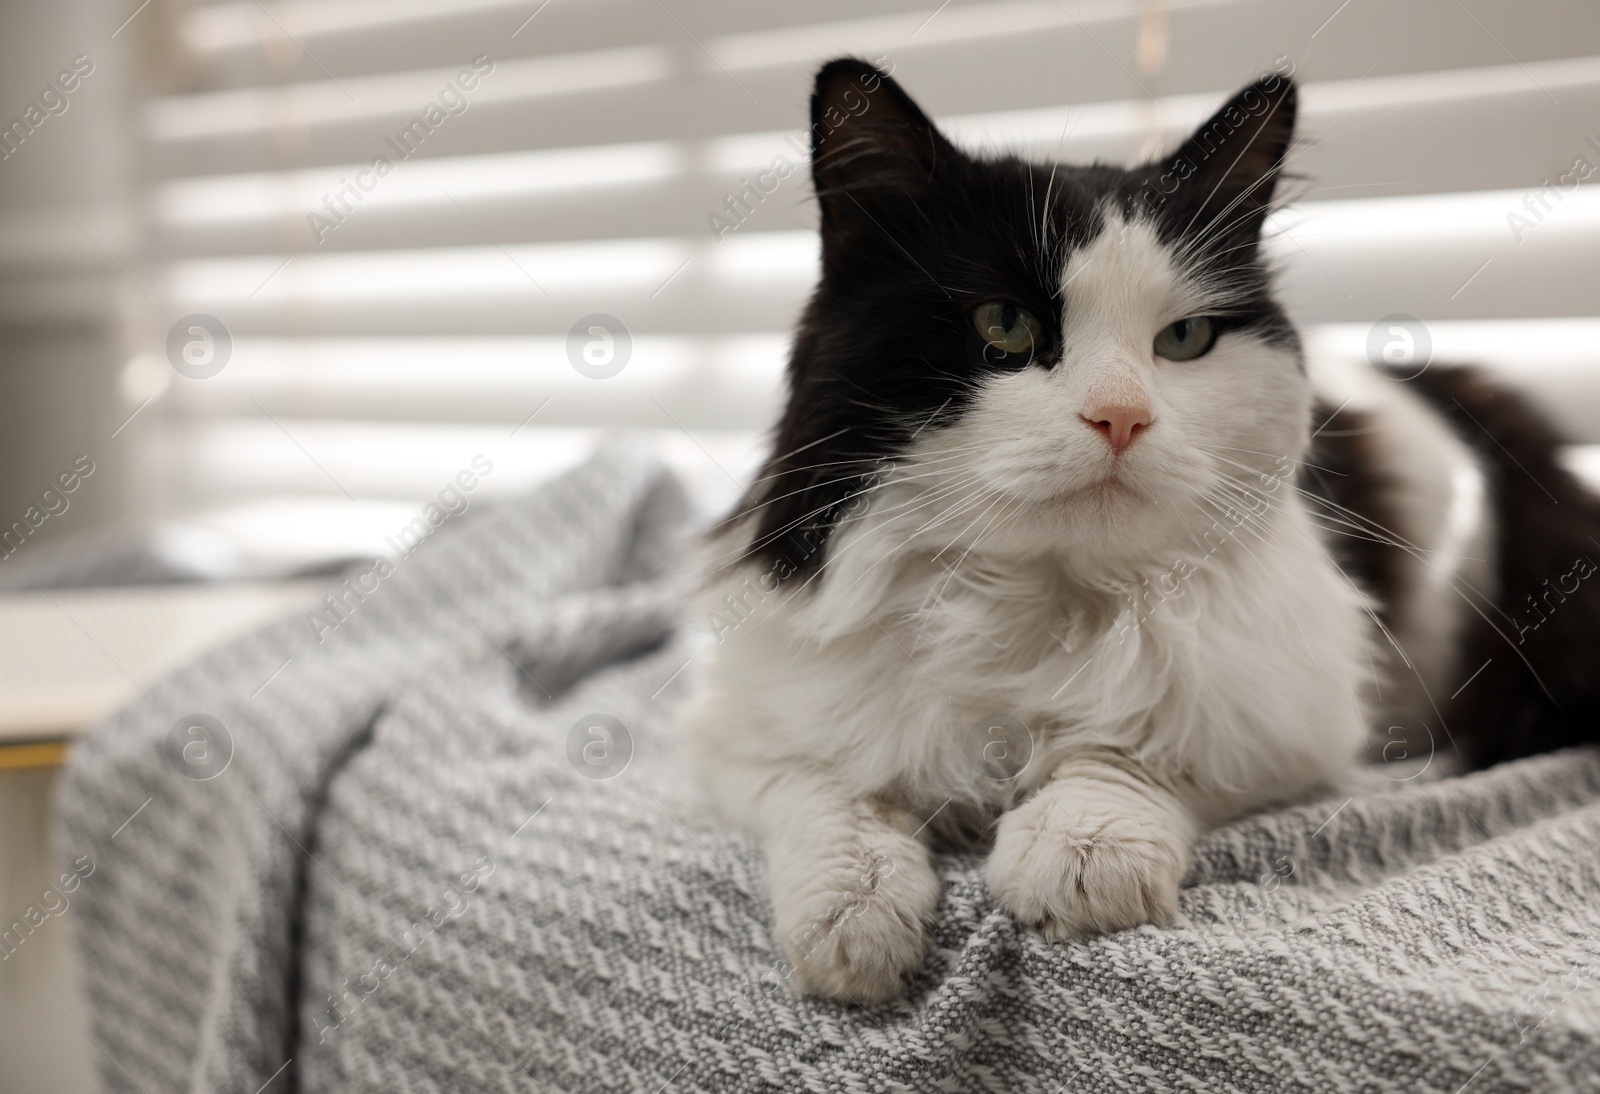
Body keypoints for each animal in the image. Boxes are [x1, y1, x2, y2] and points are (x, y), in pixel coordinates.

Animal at [675, 55, 1600, 1004]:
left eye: (1184, 338)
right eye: (1004, 325)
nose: (1121, 418)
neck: (1033, 593)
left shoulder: (1282, 725)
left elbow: (1131, 751)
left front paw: (1081, 854)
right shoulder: (740, 730)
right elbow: (832, 798)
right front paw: (854, 924)